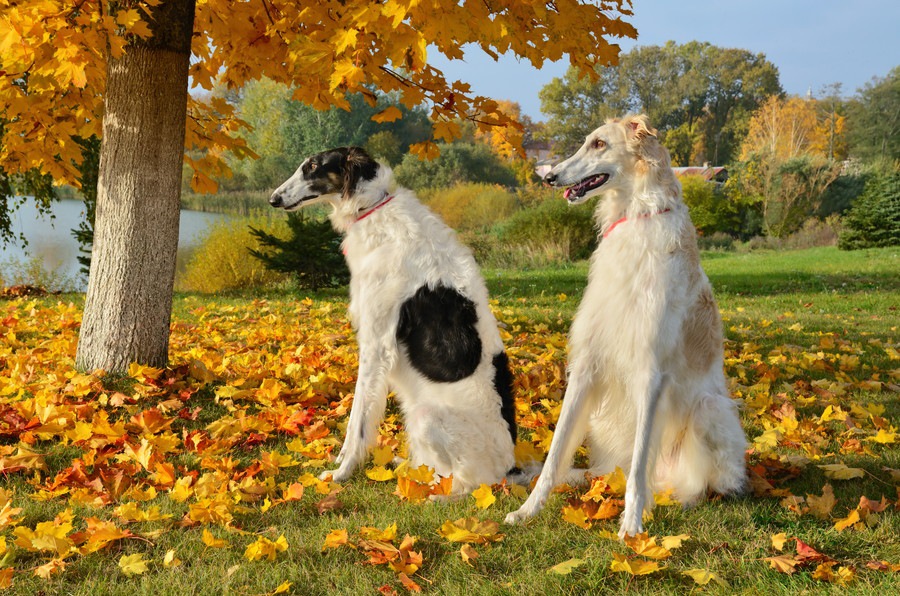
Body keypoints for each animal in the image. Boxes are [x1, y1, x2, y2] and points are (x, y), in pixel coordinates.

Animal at [506, 113, 744, 536]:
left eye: (599, 144)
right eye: (586, 141)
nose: (550, 177)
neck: (637, 217)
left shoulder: (651, 372)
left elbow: (638, 466)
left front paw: (631, 526)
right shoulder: (586, 364)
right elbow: (555, 453)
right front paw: (528, 509)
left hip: (709, 408)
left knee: (694, 481)